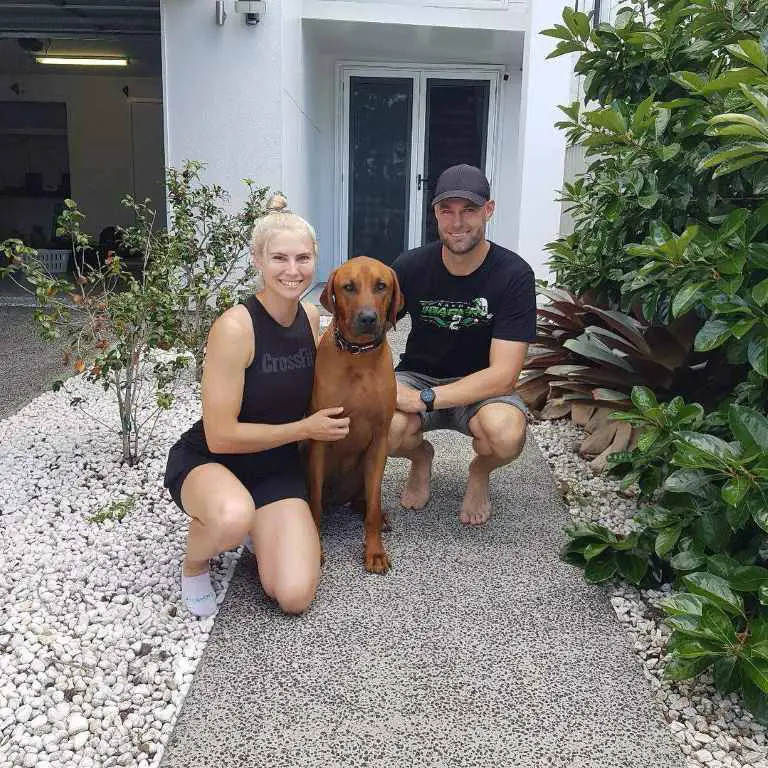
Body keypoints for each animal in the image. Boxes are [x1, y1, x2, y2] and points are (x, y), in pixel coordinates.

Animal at [308, 256, 404, 568]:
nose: (368, 318)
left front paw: (374, 551)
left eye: (381, 286)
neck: (359, 356)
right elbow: (313, 501)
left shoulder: (380, 440)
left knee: (367, 500)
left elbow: (373, 503)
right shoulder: (320, 437)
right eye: (348, 287)